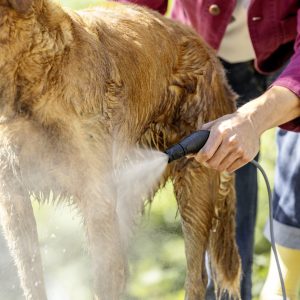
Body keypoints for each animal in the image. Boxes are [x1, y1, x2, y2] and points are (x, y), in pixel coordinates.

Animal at [0, 0, 241, 298]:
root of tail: (206, 49)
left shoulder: (96, 196)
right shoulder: (13, 197)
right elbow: (31, 278)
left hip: (196, 176)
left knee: (196, 277)